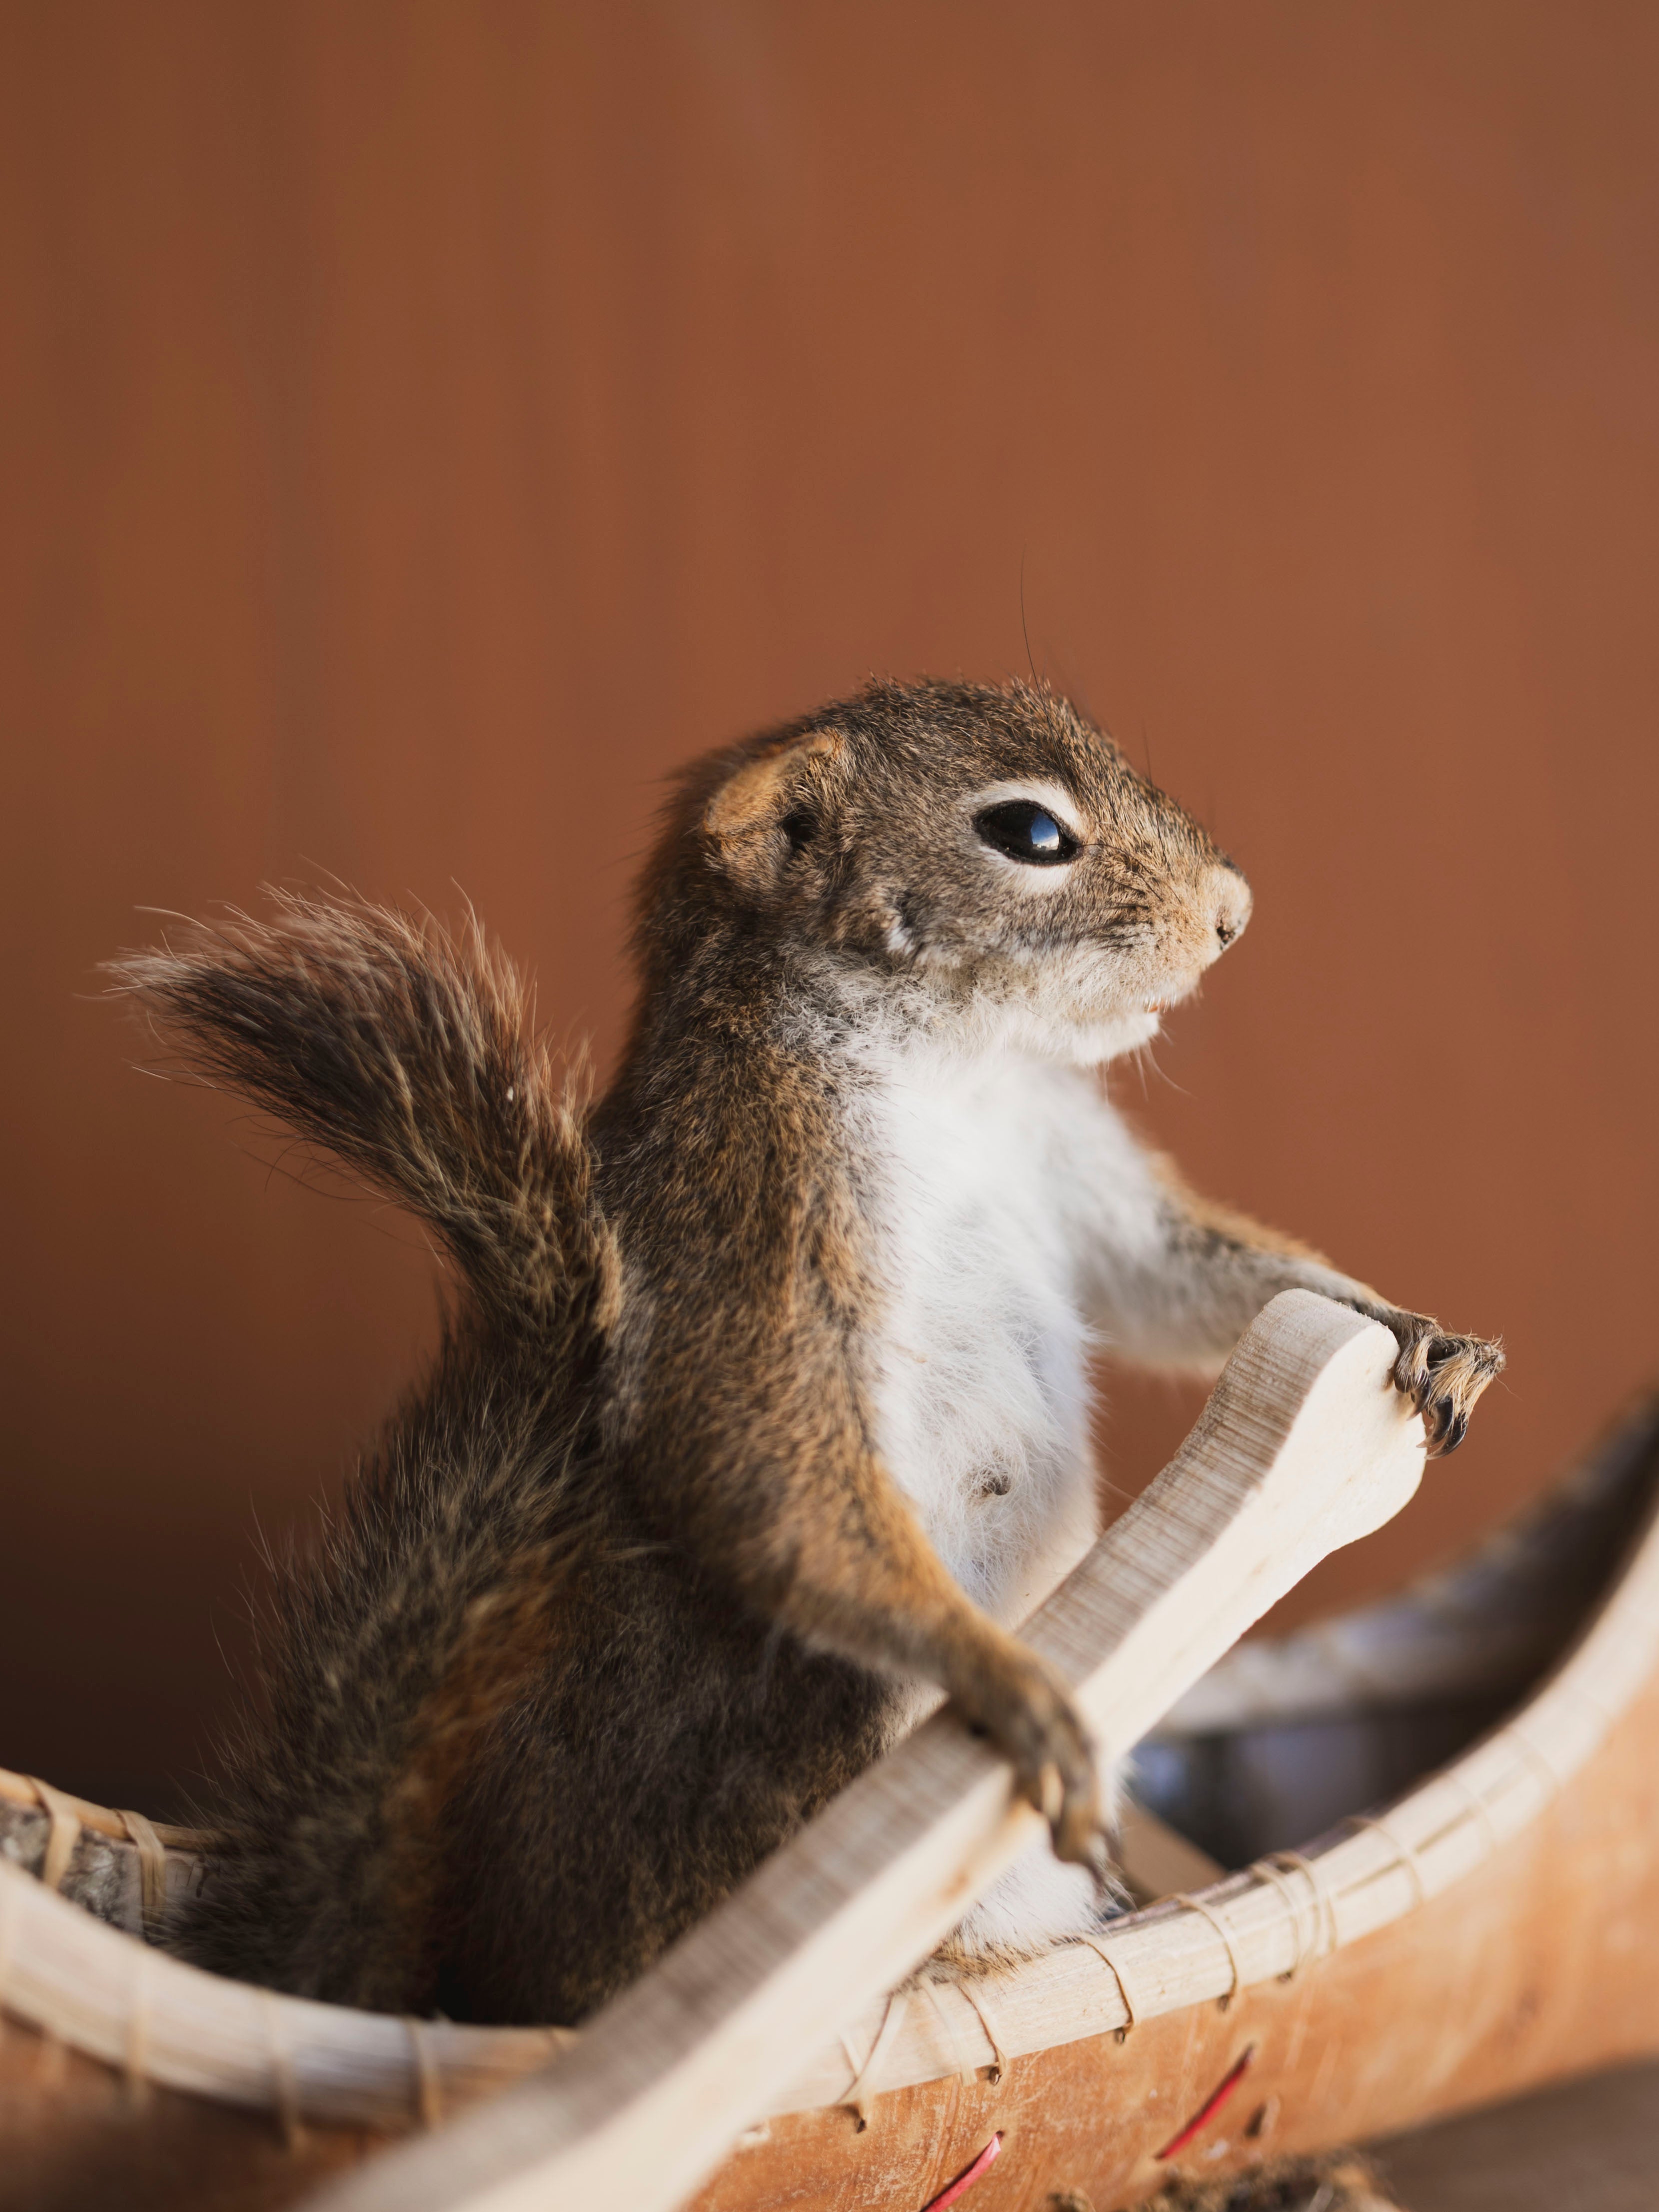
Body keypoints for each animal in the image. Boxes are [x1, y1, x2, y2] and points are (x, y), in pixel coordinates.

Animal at [110, 676, 1503, 2028]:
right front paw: (1002, 1676)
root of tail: (482, 1979)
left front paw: (1409, 1325)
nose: (1233, 911)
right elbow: (763, 1461)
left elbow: (1176, 1275)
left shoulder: (1073, 1166)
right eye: (1028, 832)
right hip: (814, 1739)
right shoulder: (751, 1202)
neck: (954, 1066)